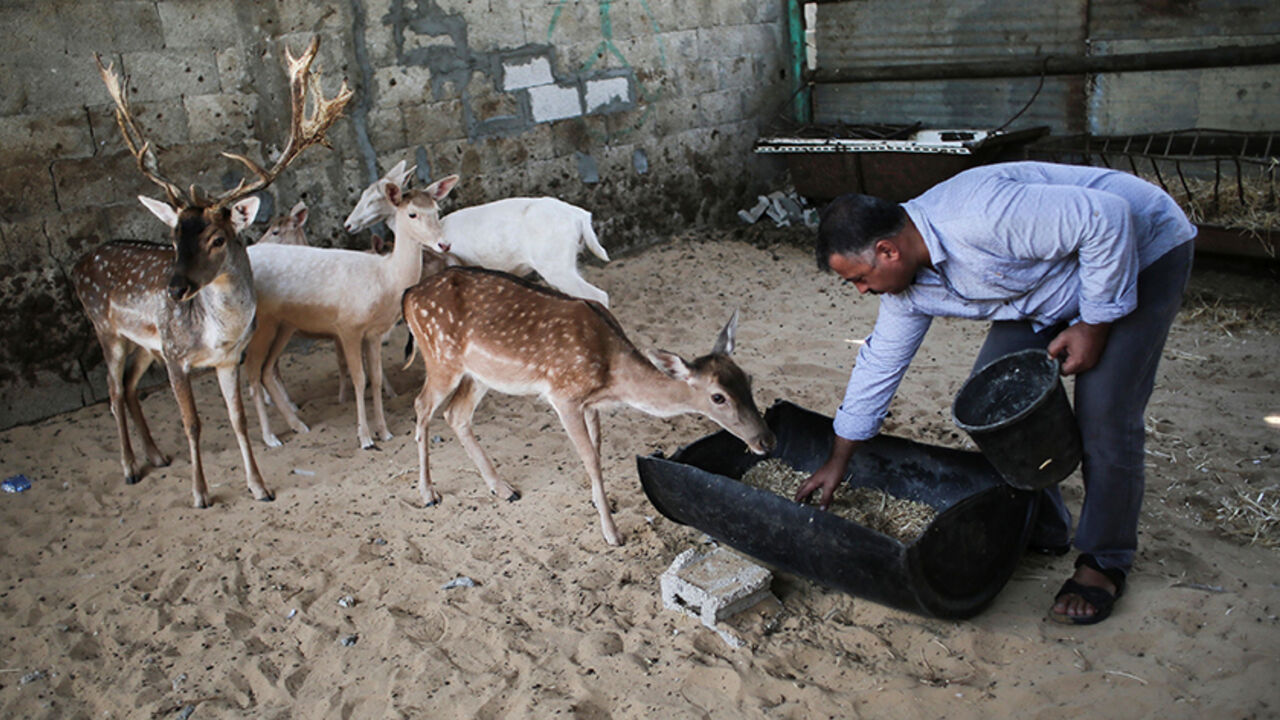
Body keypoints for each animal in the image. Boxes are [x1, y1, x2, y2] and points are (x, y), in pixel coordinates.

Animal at [71, 37, 352, 507]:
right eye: (172, 237)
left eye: (217, 239)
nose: (174, 288)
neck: (215, 332)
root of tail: (78, 265)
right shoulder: (176, 357)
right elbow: (193, 423)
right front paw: (200, 494)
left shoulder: (225, 359)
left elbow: (238, 421)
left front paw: (260, 487)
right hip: (106, 330)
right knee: (111, 391)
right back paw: (129, 468)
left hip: (145, 344)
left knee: (127, 388)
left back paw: (157, 456)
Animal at [243, 174, 460, 449]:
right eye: (412, 213)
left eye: (436, 209)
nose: (444, 244)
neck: (385, 280)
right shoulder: (347, 327)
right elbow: (359, 379)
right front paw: (365, 438)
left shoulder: (375, 332)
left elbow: (376, 377)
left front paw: (385, 432)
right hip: (258, 323)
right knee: (252, 373)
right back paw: (270, 438)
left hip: (283, 324)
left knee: (267, 370)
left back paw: (299, 425)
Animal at [344, 162, 611, 305]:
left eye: (373, 199)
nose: (347, 225)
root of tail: (581, 217)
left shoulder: (453, 263)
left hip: (556, 265)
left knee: (599, 295)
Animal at [401, 267, 777, 546]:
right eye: (718, 397)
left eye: (748, 380)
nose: (766, 440)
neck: (611, 376)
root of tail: (409, 295)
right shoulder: (563, 394)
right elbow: (591, 459)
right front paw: (612, 533)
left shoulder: (591, 403)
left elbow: (597, 449)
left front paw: (601, 503)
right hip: (440, 357)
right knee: (422, 406)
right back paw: (428, 493)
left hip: (480, 374)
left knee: (456, 414)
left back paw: (503, 489)